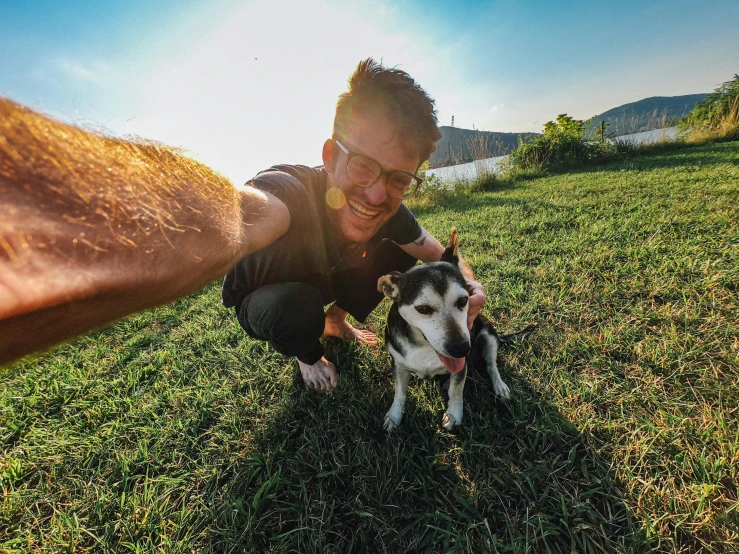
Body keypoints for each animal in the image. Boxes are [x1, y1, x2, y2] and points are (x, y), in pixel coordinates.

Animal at [378, 226, 536, 430]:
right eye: (423, 309)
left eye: (463, 301)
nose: (461, 349)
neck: (424, 346)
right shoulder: (398, 364)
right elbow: (399, 393)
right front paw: (394, 416)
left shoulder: (461, 366)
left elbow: (456, 390)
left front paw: (454, 415)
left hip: (488, 334)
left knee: (491, 365)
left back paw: (499, 386)